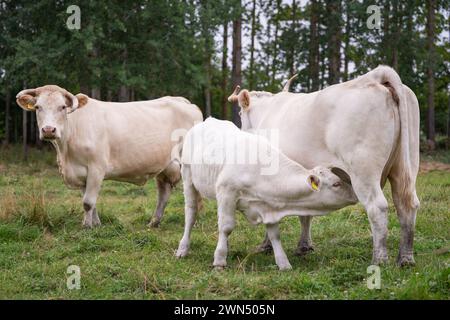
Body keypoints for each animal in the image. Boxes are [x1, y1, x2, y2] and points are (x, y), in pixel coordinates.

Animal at [16, 84, 202, 228]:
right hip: (165, 165)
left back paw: (194, 222)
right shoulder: (82, 173)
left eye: (62, 107)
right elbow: (90, 201)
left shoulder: (97, 168)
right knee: (163, 193)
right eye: (38, 107)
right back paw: (154, 222)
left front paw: (86, 226)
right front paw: (96, 224)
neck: (66, 152)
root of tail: (183, 101)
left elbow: (88, 202)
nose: (48, 130)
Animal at [174, 117, 356, 270]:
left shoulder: (268, 203)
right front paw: (219, 260)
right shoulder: (226, 192)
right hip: (188, 177)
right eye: (336, 184)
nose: (355, 195)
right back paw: (183, 248)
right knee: (191, 214)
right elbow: (226, 227)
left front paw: (283, 263)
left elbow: (274, 235)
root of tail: (208, 120)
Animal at [229, 64, 422, 264]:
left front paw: (266, 245)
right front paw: (304, 246)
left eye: (240, 113)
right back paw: (405, 258)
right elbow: (305, 213)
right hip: (405, 165)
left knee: (377, 207)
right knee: (407, 204)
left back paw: (379, 260)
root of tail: (375, 76)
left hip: (363, 172)